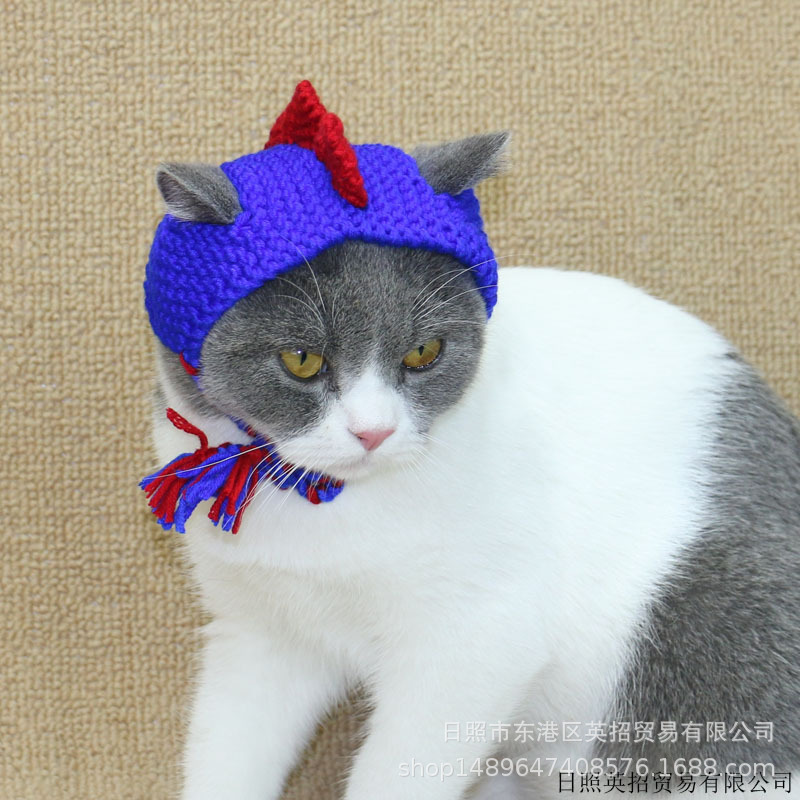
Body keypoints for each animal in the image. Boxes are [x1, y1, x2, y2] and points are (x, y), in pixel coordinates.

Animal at [147, 132, 800, 800]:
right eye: (301, 359)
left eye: (423, 351)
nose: (374, 430)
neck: (317, 506)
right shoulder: (261, 635)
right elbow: (229, 750)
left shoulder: (474, 641)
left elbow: (401, 771)